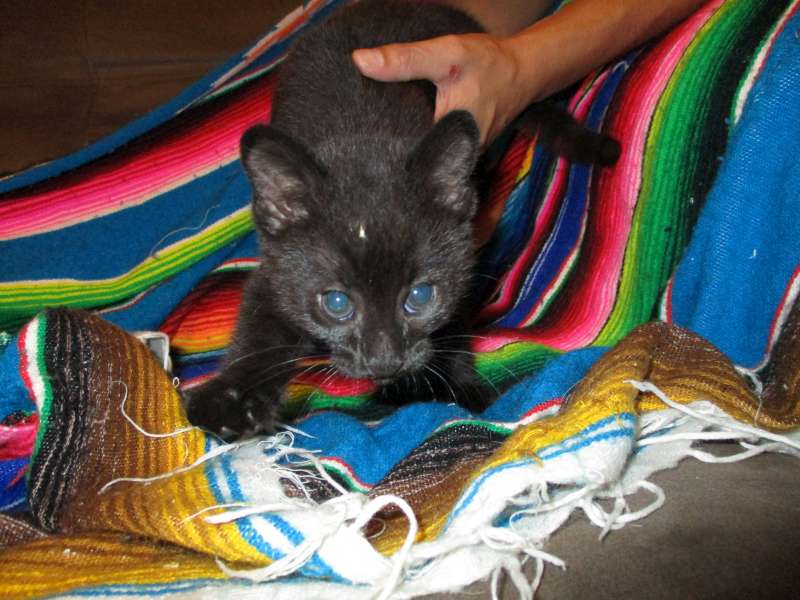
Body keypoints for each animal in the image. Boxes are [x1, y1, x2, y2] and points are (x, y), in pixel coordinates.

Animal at [184, 0, 619, 438]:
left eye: (419, 297)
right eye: (337, 302)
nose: (384, 361)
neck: (361, 131)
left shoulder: (463, 258)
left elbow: (454, 321)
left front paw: (460, 387)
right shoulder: (277, 269)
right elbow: (261, 327)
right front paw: (231, 399)